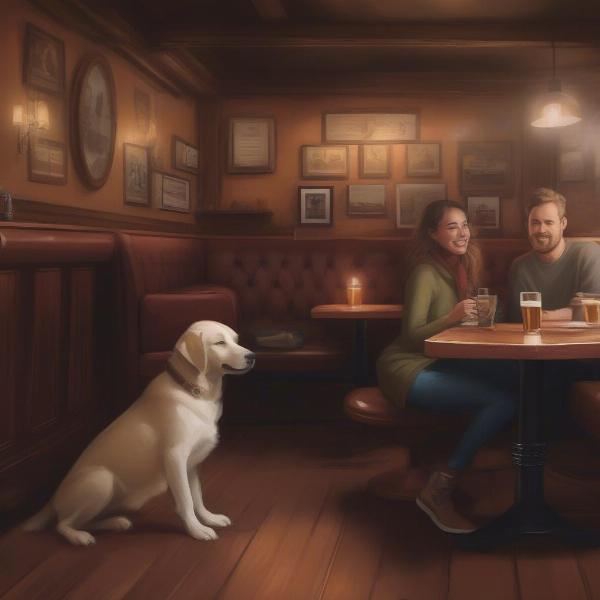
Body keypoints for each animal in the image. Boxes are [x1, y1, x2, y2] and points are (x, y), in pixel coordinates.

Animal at [22, 322, 253, 548]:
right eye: (220, 343)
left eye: (236, 340)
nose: (252, 356)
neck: (194, 392)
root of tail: (52, 499)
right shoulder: (175, 458)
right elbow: (186, 500)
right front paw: (197, 530)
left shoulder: (192, 464)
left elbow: (197, 496)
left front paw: (209, 518)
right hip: (101, 480)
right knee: (62, 524)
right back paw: (80, 537)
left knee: (85, 520)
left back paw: (116, 522)